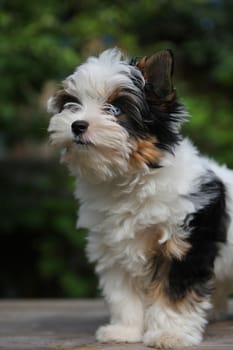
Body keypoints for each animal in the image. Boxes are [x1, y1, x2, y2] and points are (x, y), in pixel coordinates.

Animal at [46, 48, 233, 348]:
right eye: (71, 104)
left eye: (115, 109)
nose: (77, 125)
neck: (131, 178)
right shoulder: (114, 248)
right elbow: (124, 294)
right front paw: (126, 330)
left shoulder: (184, 245)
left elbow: (174, 293)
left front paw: (170, 333)